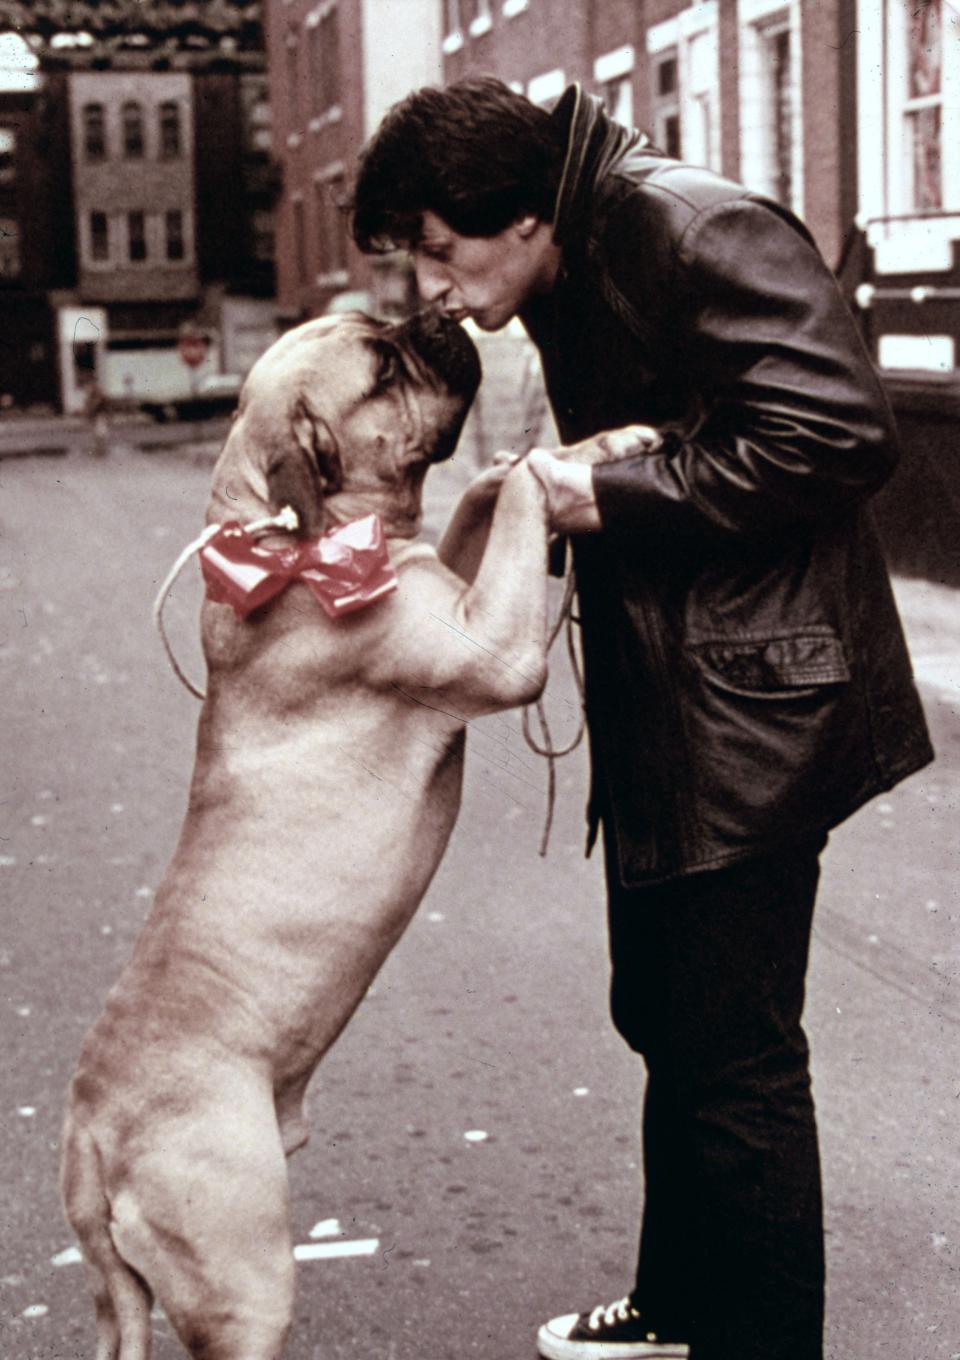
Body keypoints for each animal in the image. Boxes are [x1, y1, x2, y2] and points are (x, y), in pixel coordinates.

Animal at [61, 312, 554, 1360]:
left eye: (390, 333)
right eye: (381, 367)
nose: (433, 314)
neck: (292, 542)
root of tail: (90, 1141)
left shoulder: (450, 577)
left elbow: (481, 510)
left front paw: (521, 466)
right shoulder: (495, 645)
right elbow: (525, 508)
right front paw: (578, 457)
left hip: (123, 1303)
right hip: (245, 1282)